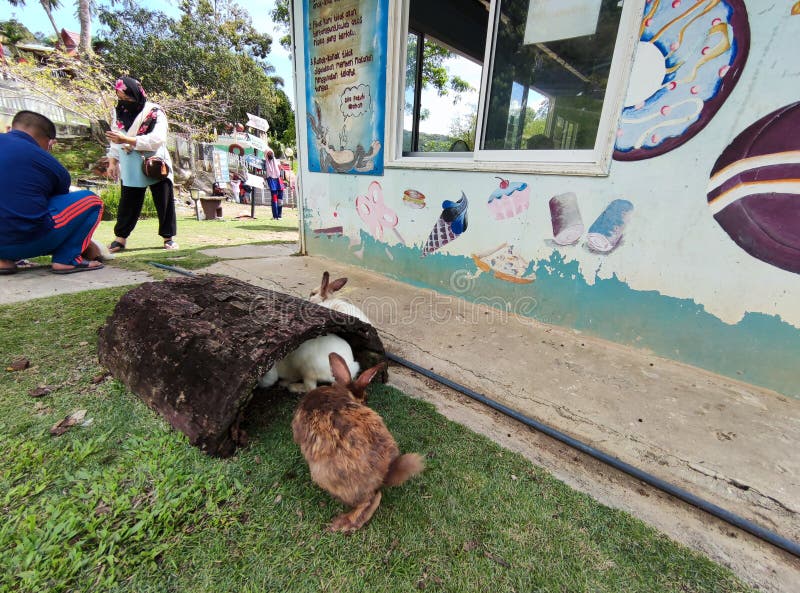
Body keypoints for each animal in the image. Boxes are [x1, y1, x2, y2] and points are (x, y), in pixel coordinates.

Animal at [292, 352, 424, 533]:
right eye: (365, 399)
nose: (366, 403)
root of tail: (384, 473)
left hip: (324, 476)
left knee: (372, 499)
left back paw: (342, 523)